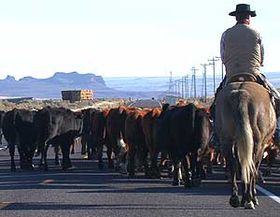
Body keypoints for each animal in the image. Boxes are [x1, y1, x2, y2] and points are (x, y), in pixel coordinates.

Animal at [214, 81, 276, 209]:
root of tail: (241, 94)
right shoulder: (261, 146)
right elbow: (254, 167)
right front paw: (252, 197)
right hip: (256, 143)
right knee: (251, 166)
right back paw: (249, 200)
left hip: (227, 140)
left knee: (233, 165)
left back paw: (235, 198)